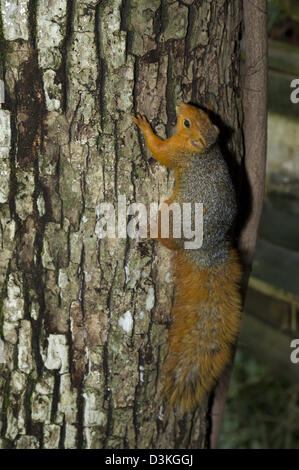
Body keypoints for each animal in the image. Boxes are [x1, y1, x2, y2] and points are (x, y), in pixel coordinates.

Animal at [132, 103, 243, 412]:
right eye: (198, 116)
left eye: (186, 123)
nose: (182, 104)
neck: (204, 151)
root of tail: (206, 250)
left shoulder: (176, 154)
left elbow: (159, 151)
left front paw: (144, 126)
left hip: (171, 216)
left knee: (168, 240)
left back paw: (150, 230)